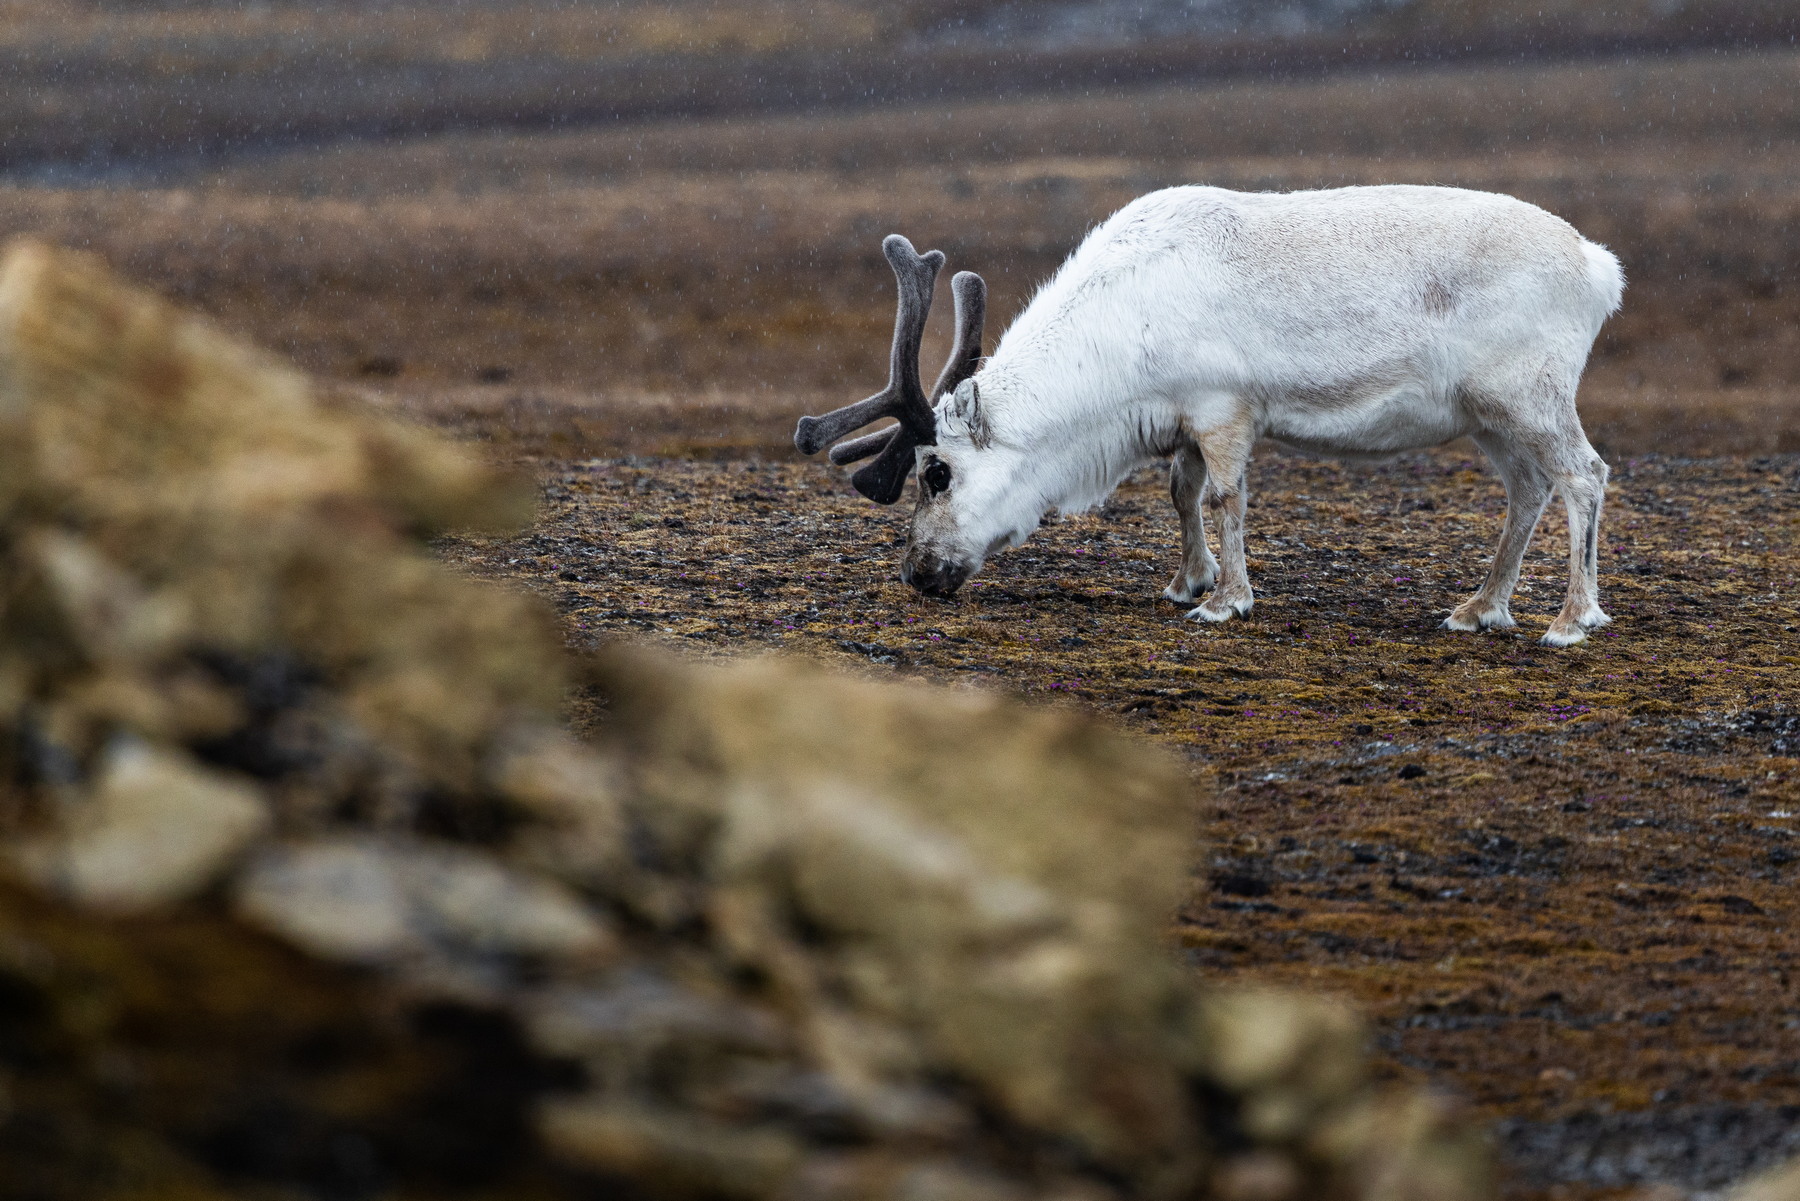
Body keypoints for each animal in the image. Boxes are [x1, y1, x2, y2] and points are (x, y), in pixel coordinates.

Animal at [795, 185, 1624, 647]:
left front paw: (1226, 600)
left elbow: (1226, 497)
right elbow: (1180, 492)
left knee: (1584, 475)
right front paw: (1187, 581)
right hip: (1489, 416)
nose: (917, 573)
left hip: (1532, 396)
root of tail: (1599, 265)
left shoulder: (1225, 407)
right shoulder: (1183, 419)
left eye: (936, 473)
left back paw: (1570, 619)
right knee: (1528, 490)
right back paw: (1480, 607)